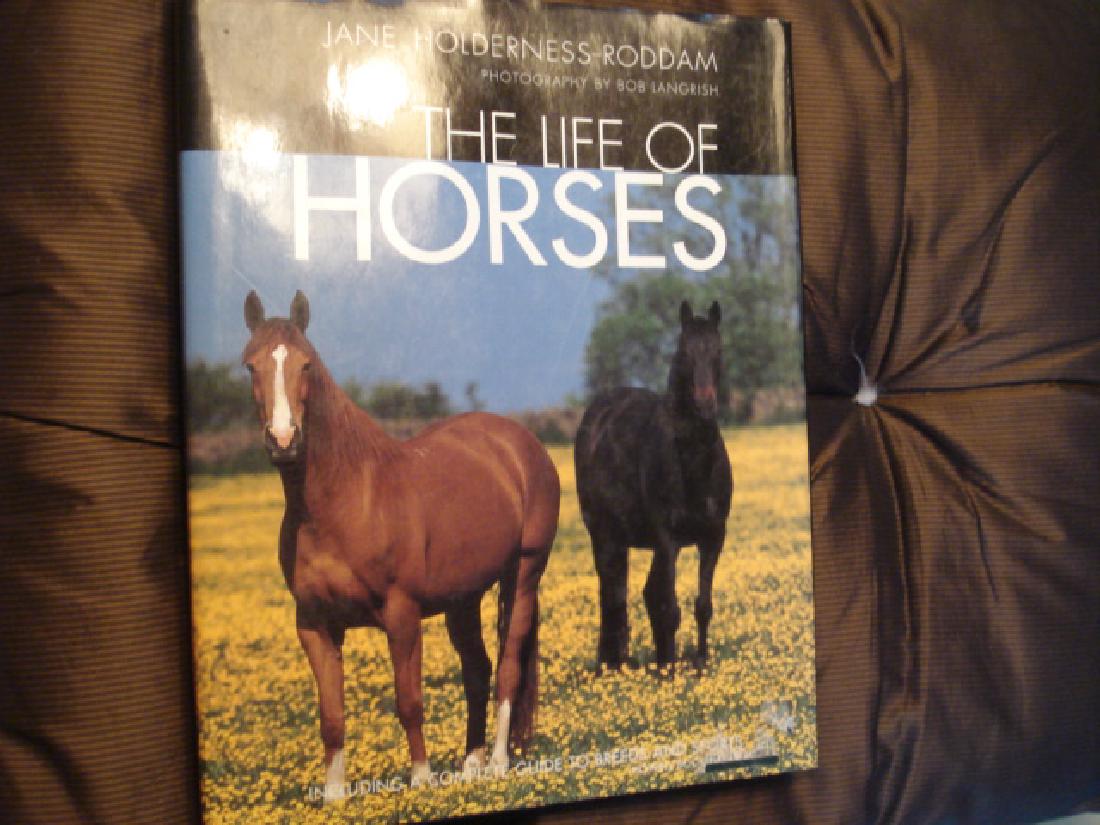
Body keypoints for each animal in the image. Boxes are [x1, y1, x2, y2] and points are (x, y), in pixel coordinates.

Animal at [240, 290, 560, 801]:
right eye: (250, 366)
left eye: (306, 364)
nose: (284, 440)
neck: (344, 502)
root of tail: (519, 443)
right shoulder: (314, 625)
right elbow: (331, 715)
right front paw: (334, 798)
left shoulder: (401, 615)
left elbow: (409, 700)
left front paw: (421, 780)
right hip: (463, 599)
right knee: (477, 669)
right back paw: (470, 765)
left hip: (523, 575)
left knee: (508, 667)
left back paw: (496, 763)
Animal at [574, 300, 733, 672]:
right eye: (684, 352)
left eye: (718, 351)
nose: (705, 403)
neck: (694, 466)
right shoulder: (667, 539)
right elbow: (670, 608)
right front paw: (670, 672)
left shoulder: (713, 538)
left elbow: (702, 606)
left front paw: (700, 664)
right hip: (606, 537)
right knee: (613, 596)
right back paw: (614, 664)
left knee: (640, 595)